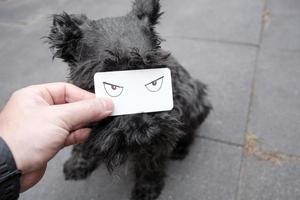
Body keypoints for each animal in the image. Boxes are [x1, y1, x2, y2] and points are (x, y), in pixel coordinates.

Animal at [46, 0, 211, 199]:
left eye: (154, 81)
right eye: (111, 86)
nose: (144, 133)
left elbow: (150, 162)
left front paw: (147, 186)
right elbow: (82, 143)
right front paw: (78, 163)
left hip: (192, 96)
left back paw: (180, 148)